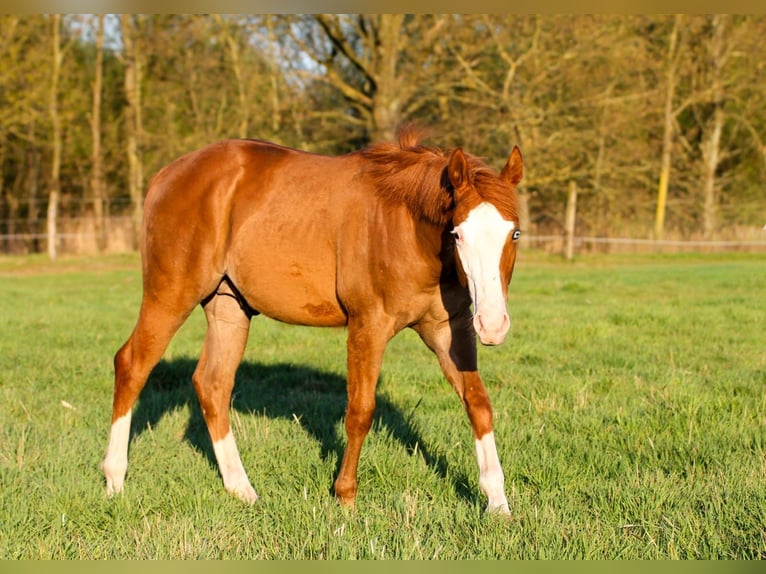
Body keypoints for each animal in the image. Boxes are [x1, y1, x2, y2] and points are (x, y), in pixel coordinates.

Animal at [101, 127, 523, 515]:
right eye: (458, 234)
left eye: (514, 233)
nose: (493, 325)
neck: (405, 225)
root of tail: (168, 174)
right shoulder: (368, 327)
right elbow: (360, 411)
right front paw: (345, 496)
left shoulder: (448, 331)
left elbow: (478, 404)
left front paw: (497, 503)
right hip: (171, 295)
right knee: (132, 365)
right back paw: (114, 479)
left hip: (228, 307)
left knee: (212, 385)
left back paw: (242, 489)